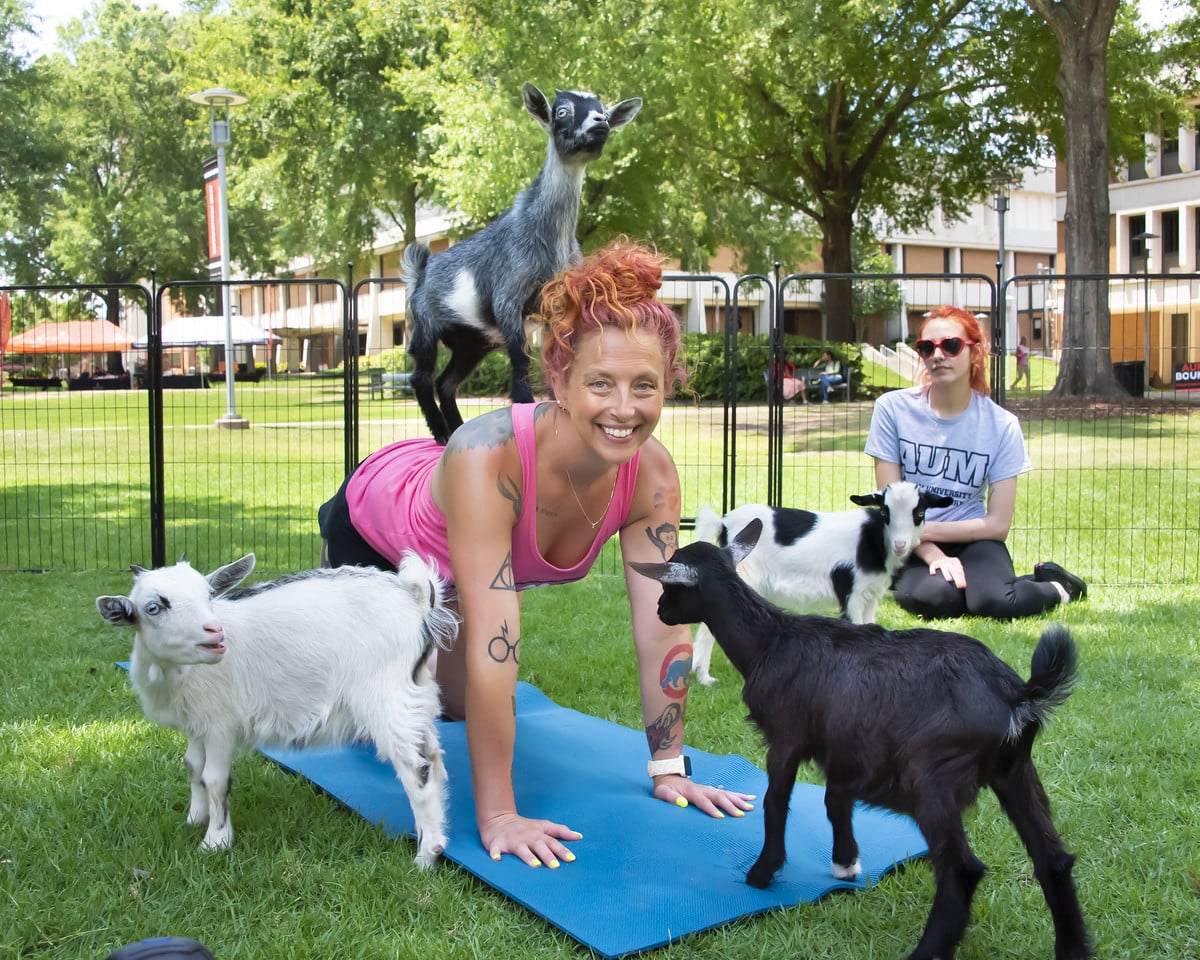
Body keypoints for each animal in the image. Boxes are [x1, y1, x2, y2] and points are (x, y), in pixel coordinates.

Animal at [94, 552, 453, 864]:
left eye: (208, 595)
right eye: (153, 607)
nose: (215, 632)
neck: (178, 673)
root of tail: (416, 598)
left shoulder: (221, 725)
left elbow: (214, 779)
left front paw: (215, 842)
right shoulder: (197, 722)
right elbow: (193, 766)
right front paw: (195, 818)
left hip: (384, 698)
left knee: (416, 768)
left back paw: (427, 855)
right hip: (416, 693)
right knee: (433, 756)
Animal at [400, 82, 648, 441]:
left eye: (602, 108)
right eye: (562, 111)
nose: (599, 122)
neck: (547, 235)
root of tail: (420, 273)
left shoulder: (557, 305)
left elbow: (559, 358)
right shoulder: (509, 295)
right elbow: (519, 358)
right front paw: (524, 405)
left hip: (473, 342)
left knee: (446, 382)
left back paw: (458, 428)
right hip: (427, 325)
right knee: (421, 377)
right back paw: (442, 433)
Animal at [633, 518, 1094, 960]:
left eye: (670, 586)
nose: (658, 610)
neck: (770, 641)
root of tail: (1017, 697)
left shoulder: (786, 738)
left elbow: (775, 803)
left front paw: (763, 873)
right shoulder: (844, 744)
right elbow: (834, 800)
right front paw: (846, 864)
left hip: (934, 779)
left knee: (962, 869)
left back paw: (927, 951)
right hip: (1015, 771)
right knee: (1053, 859)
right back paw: (1072, 949)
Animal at [691, 487, 950, 681]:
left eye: (920, 512)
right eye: (886, 512)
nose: (900, 544)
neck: (872, 541)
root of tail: (724, 523)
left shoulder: (871, 593)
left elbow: (872, 626)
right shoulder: (852, 592)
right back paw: (704, 677)